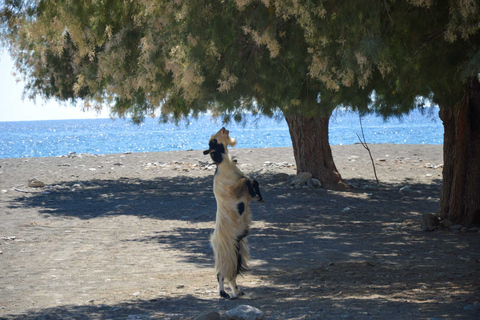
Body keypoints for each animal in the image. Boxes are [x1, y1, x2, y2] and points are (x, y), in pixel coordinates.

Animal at [202, 127, 264, 300]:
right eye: (213, 141)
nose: (223, 128)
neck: (226, 168)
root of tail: (214, 240)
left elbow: (253, 180)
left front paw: (259, 196)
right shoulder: (233, 192)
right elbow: (246, 180)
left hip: (237, 252)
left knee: (231, 275)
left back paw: (237, 292)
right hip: (227, 254)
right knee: (221, 274)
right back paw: (225, 294)